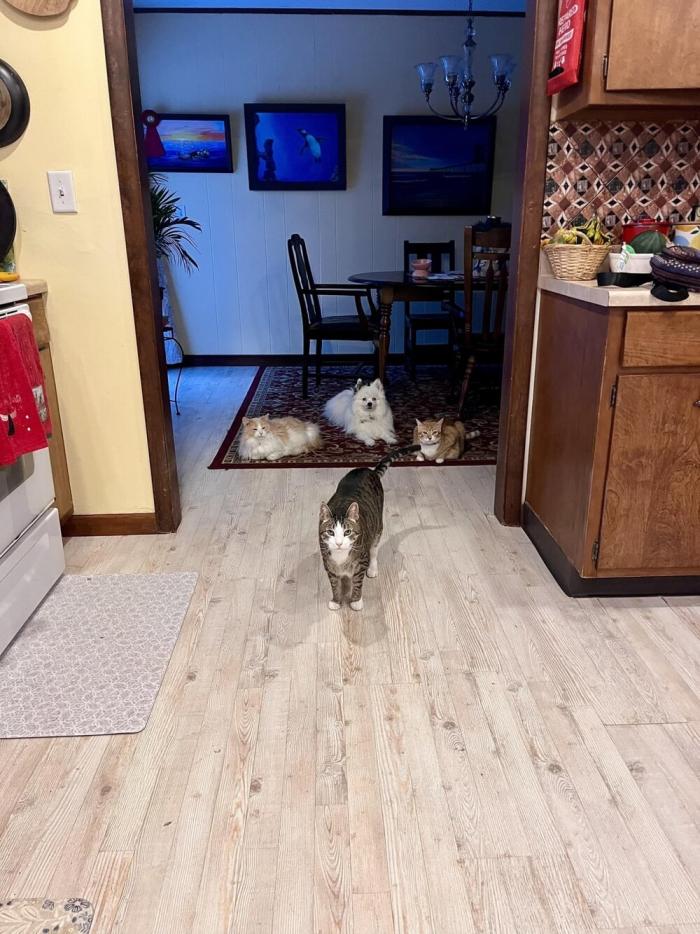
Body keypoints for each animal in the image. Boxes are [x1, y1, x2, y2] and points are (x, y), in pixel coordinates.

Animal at [319, 444, 419, 611]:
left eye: (347, 532)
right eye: (330, 532)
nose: (339, 543)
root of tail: (369, 471)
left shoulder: (360, 562)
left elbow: (358, 583)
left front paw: (356, 601)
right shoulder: (328, 563)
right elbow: (334, 584)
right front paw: (336, 600)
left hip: (377, 527)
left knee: (374, 550)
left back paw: (372, 569)